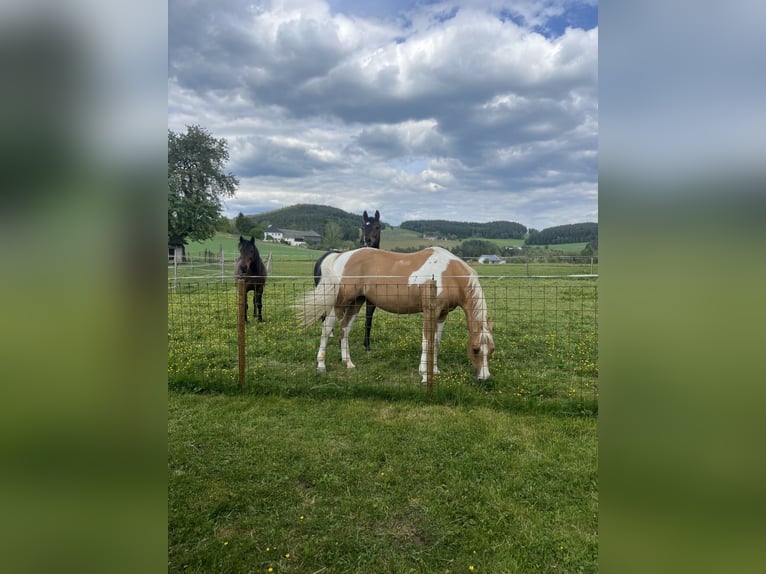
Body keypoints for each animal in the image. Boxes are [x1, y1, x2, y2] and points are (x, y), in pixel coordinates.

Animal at [296, 246, 495, 383]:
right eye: (475, 349)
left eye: (492, 350)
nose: (484, 378)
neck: (449, 274)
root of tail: (340, 256)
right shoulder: (430, 312)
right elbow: (427, 342)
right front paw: (424, 375)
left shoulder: (442, 314)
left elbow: (436, 342)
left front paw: (435, 370)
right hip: (342, 301)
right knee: (327, 327)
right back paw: (321, 365)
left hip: (357, 302)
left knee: (344, 329)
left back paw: (348, 363)